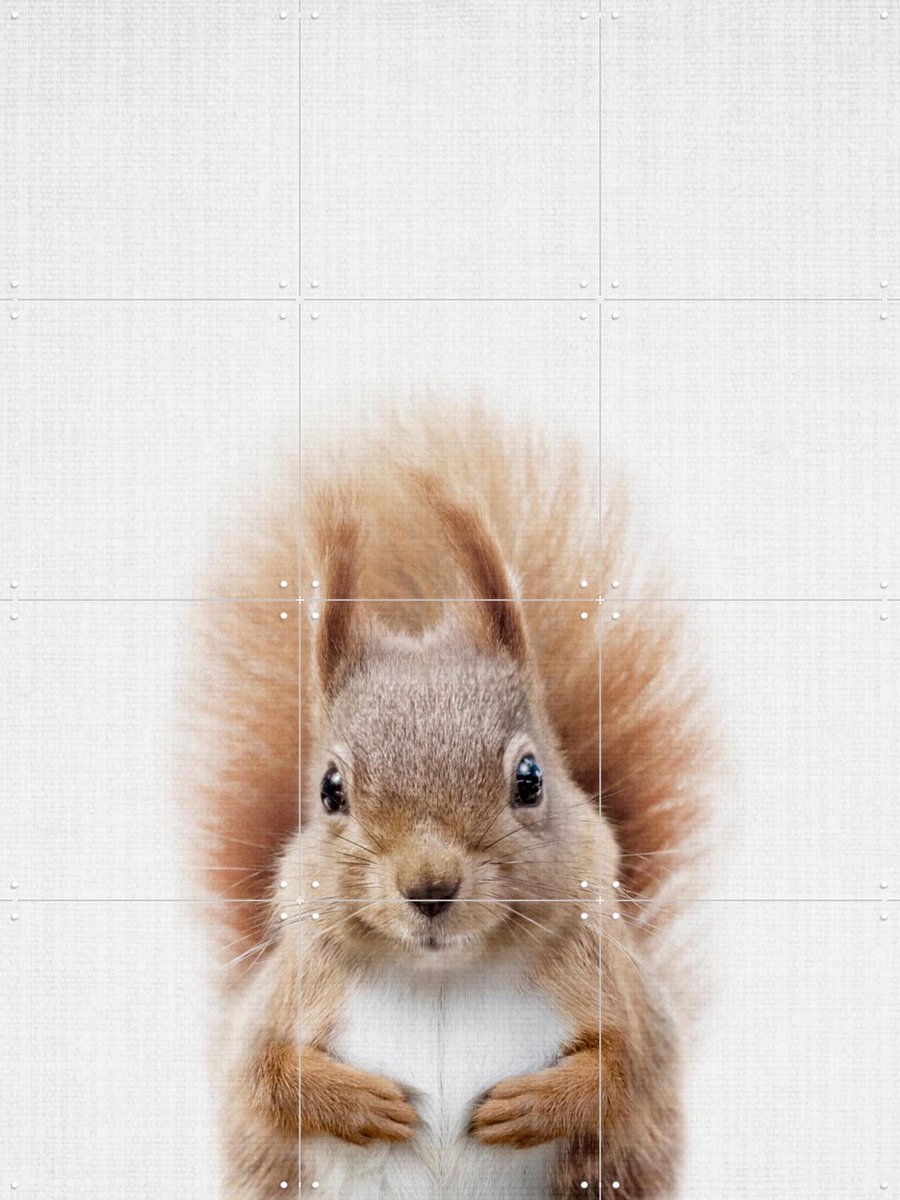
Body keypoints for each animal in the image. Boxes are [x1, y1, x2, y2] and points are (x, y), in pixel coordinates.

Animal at [191, 405, 709, 1199]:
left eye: (530, 778)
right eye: (330, 790)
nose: (430, 887)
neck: (442, 979)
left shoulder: (622, 995)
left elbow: (631, 1070)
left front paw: (534, 1103)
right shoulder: (286, 1000)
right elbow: (264, 1076)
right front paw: (362, 1102)